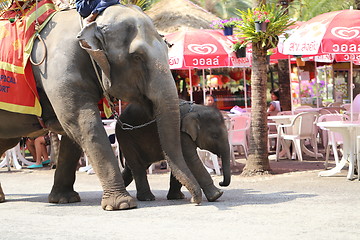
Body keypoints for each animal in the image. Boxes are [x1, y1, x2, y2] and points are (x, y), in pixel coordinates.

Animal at [0, 4, 202, 209]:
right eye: (137, 57)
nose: (194, 201)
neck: (89, 22)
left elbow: (72, 132)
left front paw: (65, 199)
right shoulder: (57, 68)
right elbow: (83, 123)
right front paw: (121, 204)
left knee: (5, 142)